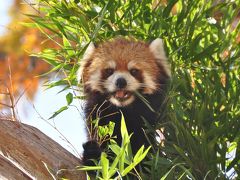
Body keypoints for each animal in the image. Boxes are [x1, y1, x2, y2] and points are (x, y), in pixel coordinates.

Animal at [78, 37, 170, 167]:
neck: (122, 111)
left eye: (134, 71)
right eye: (109, 70)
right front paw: (93, 155)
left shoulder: (145, 124)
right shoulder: (96, 117)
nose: (121, 81)